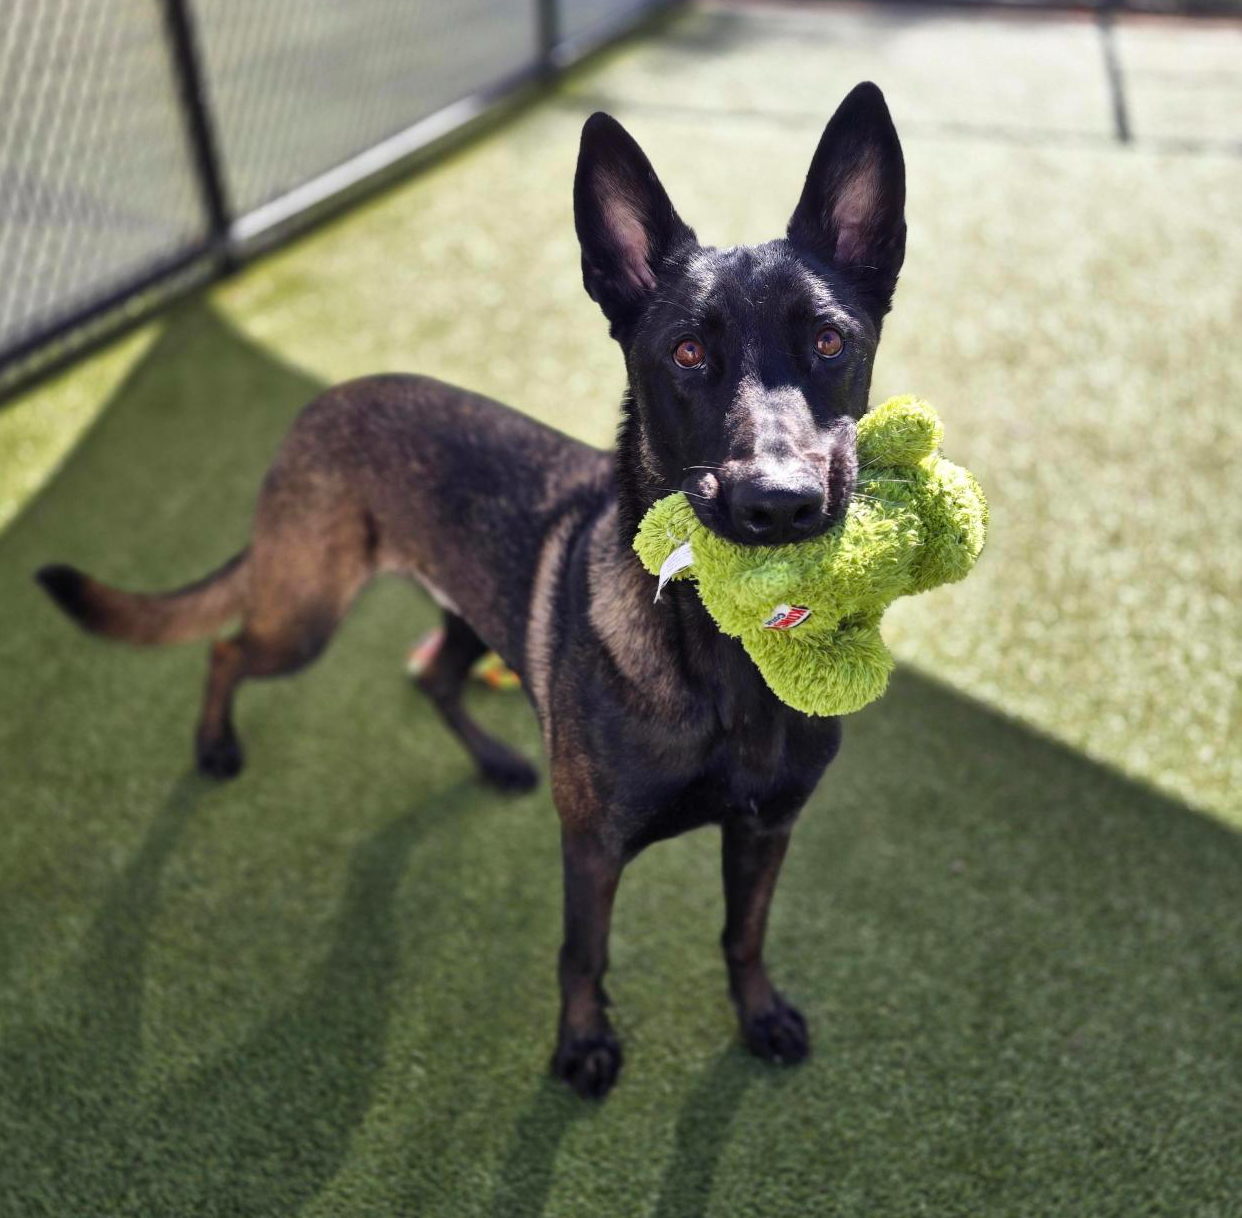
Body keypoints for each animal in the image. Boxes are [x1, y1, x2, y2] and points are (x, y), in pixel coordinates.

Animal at [38, 80, 909, 1097]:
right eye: (688, 353)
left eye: (829, 341)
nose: (778, 503)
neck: (727, 667)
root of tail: (324, 397)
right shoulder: (593, 848)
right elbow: (583, 952)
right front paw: (581, 1043)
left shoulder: (767, 828)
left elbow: (744, 933)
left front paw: (758, 1013)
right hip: (304, 614)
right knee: (227, 646)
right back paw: (215, 745)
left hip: (460, 613)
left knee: (428, 672)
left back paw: (493, 760)